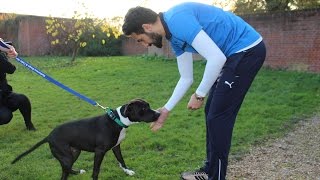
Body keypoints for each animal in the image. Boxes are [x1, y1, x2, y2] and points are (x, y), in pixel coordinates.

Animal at [11, 99, 160, 179]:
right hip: (67, 156)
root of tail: (49, 136)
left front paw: (127, 171)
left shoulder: (116, 147)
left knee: (67, 169)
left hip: (74, 152)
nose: (158, 114)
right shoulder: (99, 152)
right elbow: (96, 170)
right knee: (64, 174)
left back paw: (77, 172)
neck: (117, 120)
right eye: (143, 108)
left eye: (148, 105)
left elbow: (121, 161)